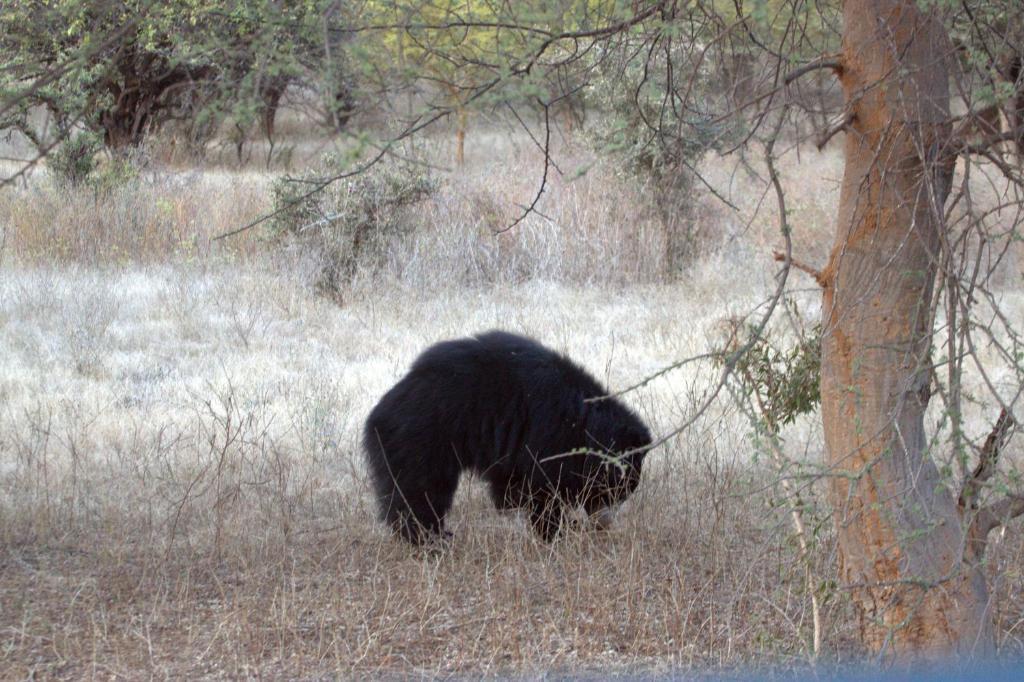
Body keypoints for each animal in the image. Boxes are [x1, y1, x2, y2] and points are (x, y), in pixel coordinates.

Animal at [362, 329, 647, 540]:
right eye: (614, 491)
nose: (603, 524)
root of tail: (379, 412)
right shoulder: (546, 433)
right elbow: (541, 489)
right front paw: (558, 531)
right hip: (421, 439)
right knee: (422, 490)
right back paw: (430, 538)